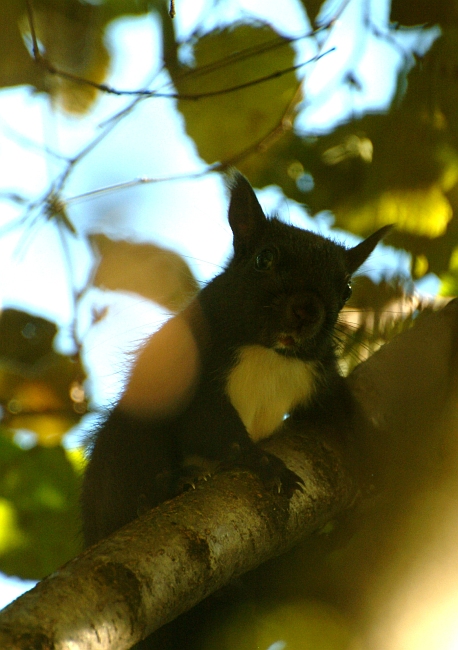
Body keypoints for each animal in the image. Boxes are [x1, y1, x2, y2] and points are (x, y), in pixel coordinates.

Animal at [81, 173, 390, 548]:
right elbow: (215, 428)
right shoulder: (194, 372)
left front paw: (373, 451)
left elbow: (344, 408)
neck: (270, 354)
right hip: (127, 441)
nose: (306, 310)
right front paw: (265, 463)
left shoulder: (320, 374)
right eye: (263, 259)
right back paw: (165, 488)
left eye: (347, 289)